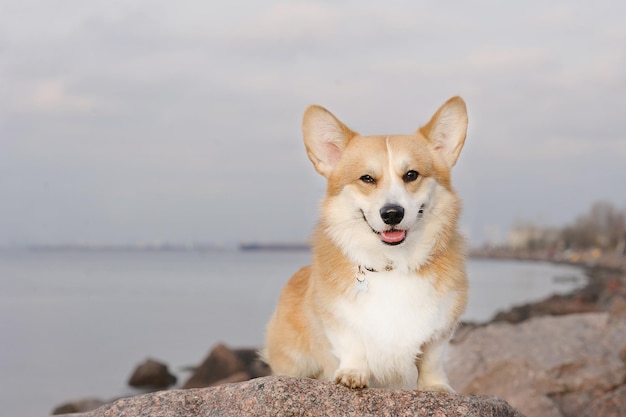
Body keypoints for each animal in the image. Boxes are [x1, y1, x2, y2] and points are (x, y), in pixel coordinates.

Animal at [264, 96, 468, 390]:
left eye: (411, 175)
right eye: (367, 178)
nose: (392, 213)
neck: (393, 265)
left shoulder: (441, 328)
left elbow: (432, 359)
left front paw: (436, 387)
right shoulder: (338, 320)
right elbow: (353, 345)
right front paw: (352, 373)